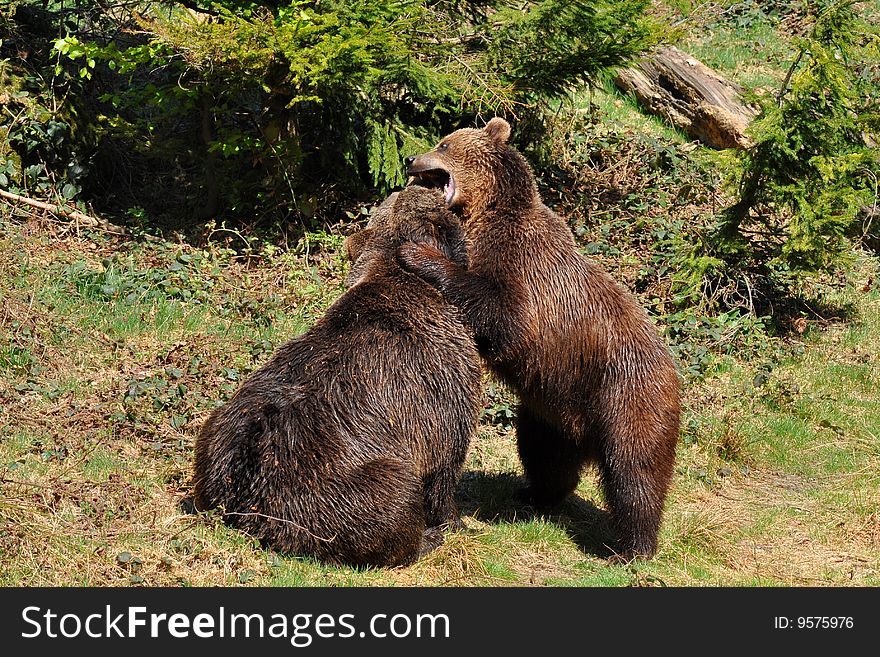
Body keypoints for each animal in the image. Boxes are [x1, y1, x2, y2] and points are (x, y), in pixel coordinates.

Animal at [193, 187, 482, 568]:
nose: (416, 183)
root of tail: (246, 505)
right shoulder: (440, 383)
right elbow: (444, 466)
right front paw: (457, 522)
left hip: (220, 436)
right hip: (333, 484)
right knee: (394, 492)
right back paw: (425, 539)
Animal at [398, 116, 680, 560]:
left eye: (443, 144)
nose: (410, 158)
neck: (485, 213)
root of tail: (674, 373)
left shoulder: (522, 269)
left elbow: (502, 314)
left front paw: (419, 254)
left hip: (626, 395)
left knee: (636, 471)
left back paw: (633, 546)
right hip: (553, 405)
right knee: (543, 453)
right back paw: (534, 493)